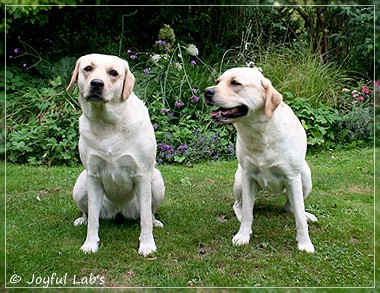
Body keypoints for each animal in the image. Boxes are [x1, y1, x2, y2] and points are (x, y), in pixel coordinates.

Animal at [66, 53, 164, 254]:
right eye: (88, 68)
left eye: (113, 73)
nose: (96, 83)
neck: (107, 123)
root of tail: (119, 211)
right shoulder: (93, 176)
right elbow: (93, 219)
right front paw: (90, 244)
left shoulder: (142, 175)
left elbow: (145, 219)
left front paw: (147, 245)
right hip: (80, 185)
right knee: (88, 212)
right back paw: (81, 219)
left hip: (157, 182)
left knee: (150, 212)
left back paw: (156, 221)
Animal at [203, 67, 316, 252]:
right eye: (218, 81)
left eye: (235, 83)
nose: (206, 92)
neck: (261, 133)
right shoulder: (248, 176)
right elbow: (248, 212)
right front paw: (243, 235)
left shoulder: (292, 177)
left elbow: (299, 216)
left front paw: (305, 243)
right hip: (240, 181)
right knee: (239, 206)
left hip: (305, 177)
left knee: (291, 207)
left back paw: (307, 215)